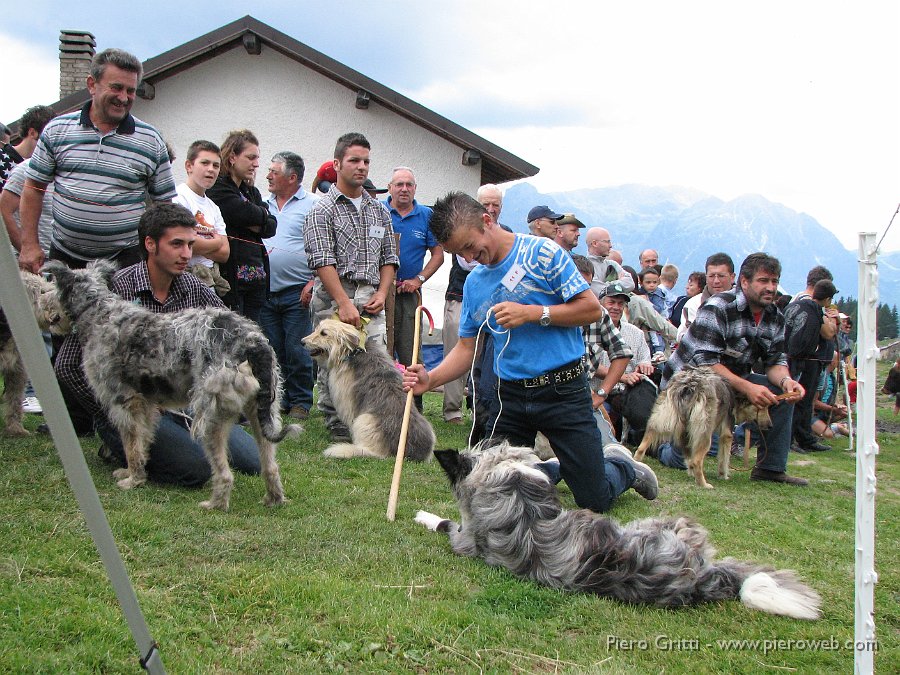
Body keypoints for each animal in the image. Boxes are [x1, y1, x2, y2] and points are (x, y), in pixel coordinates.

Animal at [45, 262, 296, 510]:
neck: (100, 311)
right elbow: (143, 441)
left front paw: (132, 479)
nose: (46, 306)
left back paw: (215, 504)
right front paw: (135, 472)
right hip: (262, 413)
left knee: (225, 474)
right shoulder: (146, 405)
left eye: (51, 284)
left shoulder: (124, 402)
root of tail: (253, 342)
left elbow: (131, 446)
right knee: (270, 467)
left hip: (209, 419)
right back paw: (273, 499)